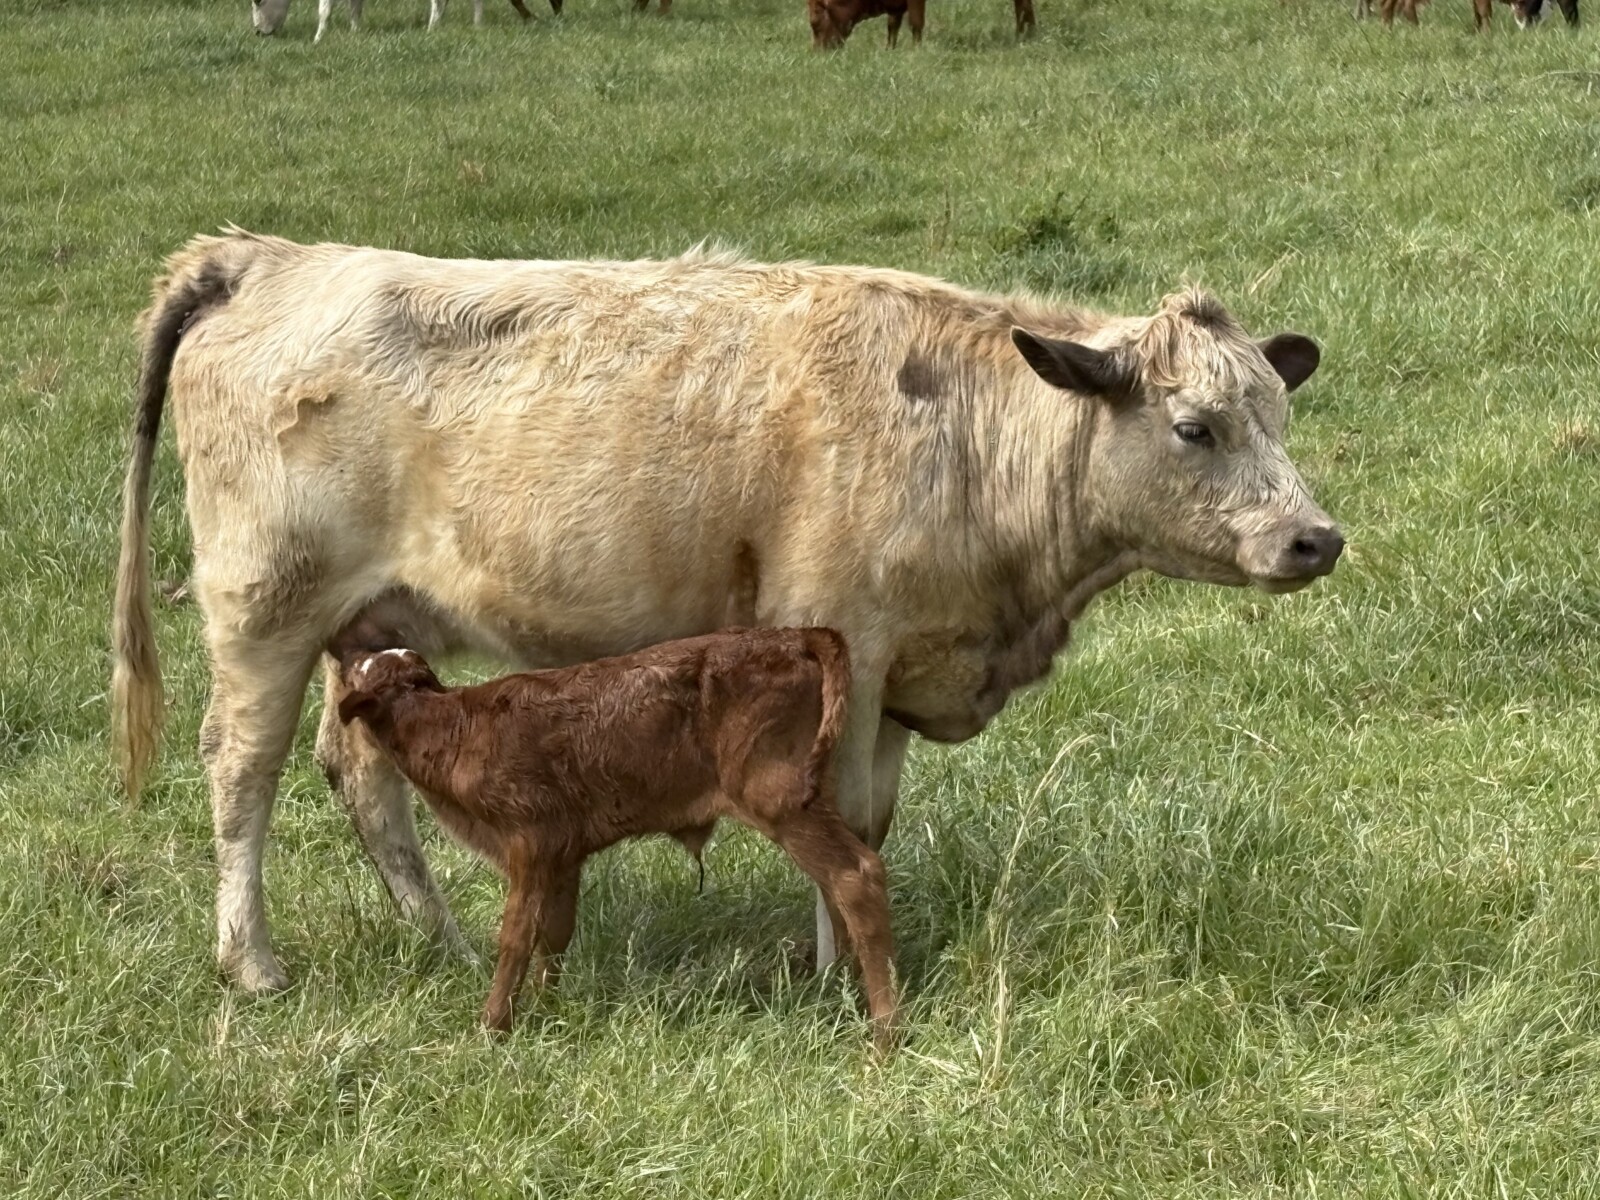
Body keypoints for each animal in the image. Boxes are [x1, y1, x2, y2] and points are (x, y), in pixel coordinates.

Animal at [111, 230, 1342, 997]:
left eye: (1278, 413)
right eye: (1193, 427)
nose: (1314, 538)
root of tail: (265, 258)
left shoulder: (903, 662)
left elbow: (871, 820)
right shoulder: (844, 642)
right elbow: (837, 816)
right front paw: (838, 976)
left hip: (370, 626)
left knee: (363, 776)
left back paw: (446, 943)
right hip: (265, 606)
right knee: (242, 768)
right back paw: (252, 965)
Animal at [329, 628, 897, 1046]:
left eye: (359, 671)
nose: (347, 647)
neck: (453, 729)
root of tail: (795, 635)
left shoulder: (529, 842)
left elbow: (515, 937)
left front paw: (492, 1027)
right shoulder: (563, 854)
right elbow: (555, 932)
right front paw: (547, 1008)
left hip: (778, 798)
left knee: (856, 876)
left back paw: (884, 1033)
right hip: (811, 797)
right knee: (836, 885)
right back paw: (844, 995)